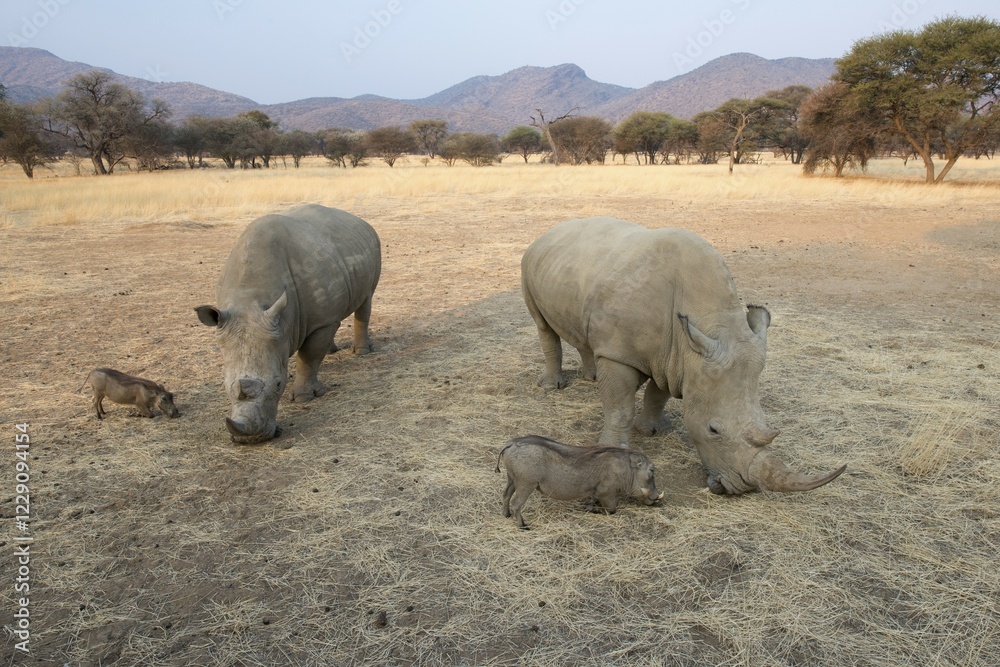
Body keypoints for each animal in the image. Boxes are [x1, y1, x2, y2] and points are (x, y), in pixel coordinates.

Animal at [195, 204, 381, 444]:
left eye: (278, 384)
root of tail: (358, 219)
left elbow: (309, 357)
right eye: (225, 386)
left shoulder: (321, 322)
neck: (251, 296)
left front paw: (304, 398)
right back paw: (331, 350)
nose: (251, 439)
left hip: (372, 247)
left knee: (365, 301)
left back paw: (362, 352)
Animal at [496, 435, 663, 529]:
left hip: (512, 479)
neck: (626, 469)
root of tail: (510, 443)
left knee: (505, 496)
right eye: (652, 470)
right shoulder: (607, 492)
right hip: (526, 484)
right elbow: (611, 510)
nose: (657, 498)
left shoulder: (596, 491)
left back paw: (506, 515)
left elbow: (592, 500)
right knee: (516, 503)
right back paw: (523, 526)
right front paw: (594, 510)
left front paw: (588, 507)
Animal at [520, 217, 846, 495]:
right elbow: (620, 408)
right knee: (542, 324)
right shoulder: (621, 354)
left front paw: (653, 430)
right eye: (713, 430)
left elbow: (657, 394)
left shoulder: (676, 357)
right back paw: (552, 387)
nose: (740, 489)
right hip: (527, 262)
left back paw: (590, 377)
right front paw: (617, 450)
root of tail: (550, 230)